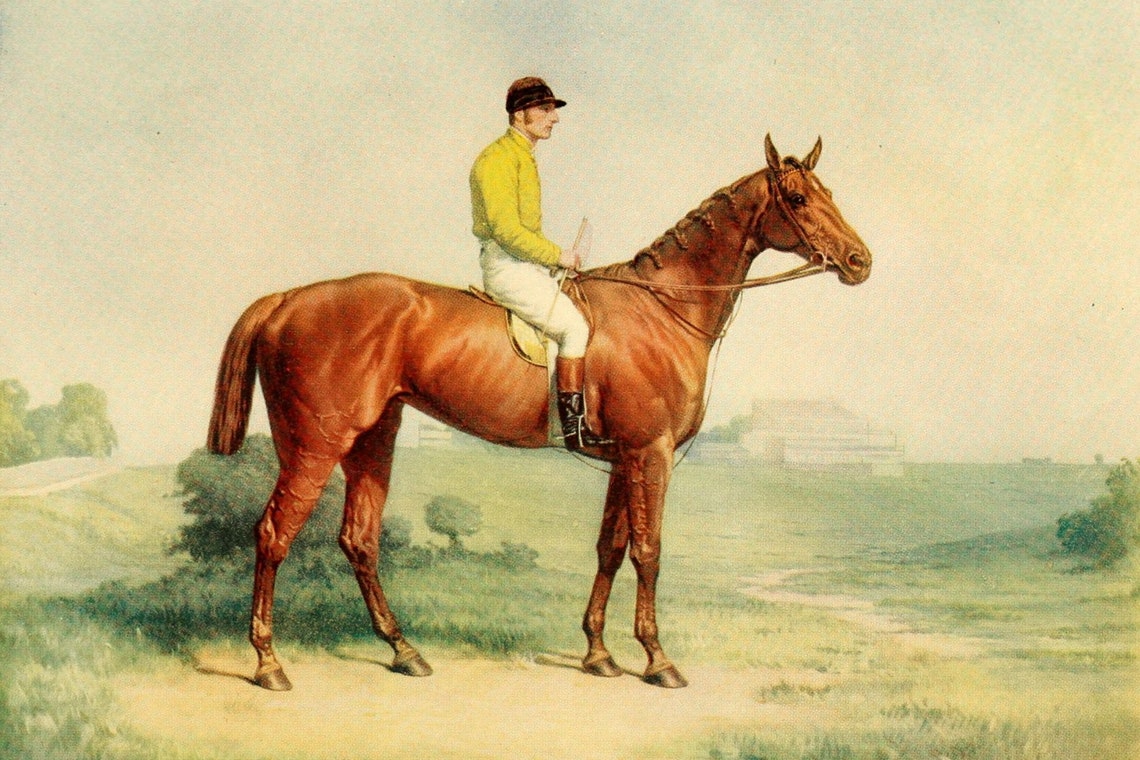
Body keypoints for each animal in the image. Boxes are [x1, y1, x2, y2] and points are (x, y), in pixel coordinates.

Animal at [207, 135, 871, 691]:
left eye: (829, 194)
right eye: (797, 197)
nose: (860, 261)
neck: (663, 307)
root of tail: (288, 299)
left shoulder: (623, 459)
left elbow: (610, 548)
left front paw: (599, 655)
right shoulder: (650, 453)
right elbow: (649, 551)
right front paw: (658, 661)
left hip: (373, 440)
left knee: (359, 541)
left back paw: (404, 651)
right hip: (315, 446)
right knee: (273, 535)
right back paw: (268, 663)